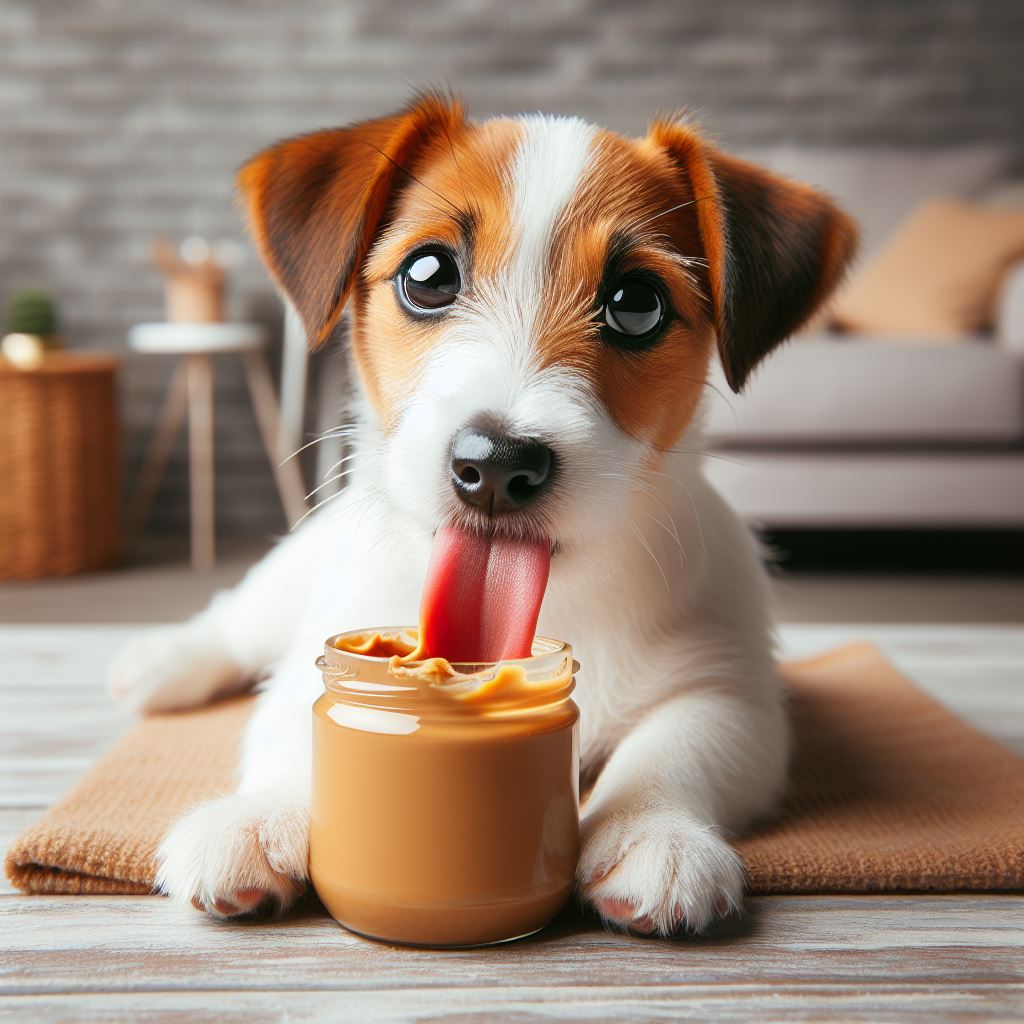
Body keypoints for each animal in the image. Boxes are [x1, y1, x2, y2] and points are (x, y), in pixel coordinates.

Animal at [108, 96, 856, 937]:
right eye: (428, 275)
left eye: (637, 303)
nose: (496, 465)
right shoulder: (313, 660)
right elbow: (295, 725)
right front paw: (259, 816)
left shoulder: (727, 694)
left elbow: (675, 750)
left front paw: (652, 835)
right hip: (290, 574)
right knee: (236, 618)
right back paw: (163, 662)